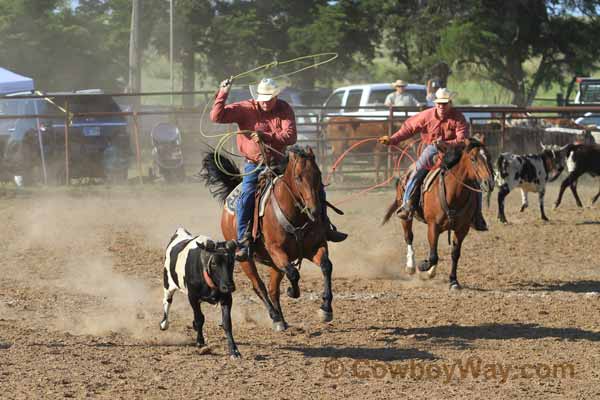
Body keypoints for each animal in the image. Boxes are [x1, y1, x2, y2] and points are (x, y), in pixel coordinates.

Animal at [163, 228, 243, 360]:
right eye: (214, 263)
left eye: (231, 262)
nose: (229, 286)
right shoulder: (193, 297)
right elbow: (200, 318)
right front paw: (200, 342)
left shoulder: (227, 298)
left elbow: (227, 323)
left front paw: (234, 351)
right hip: (167, 283)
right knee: (167, 301)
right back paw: (164, 323)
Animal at [200, 145, 332, 330]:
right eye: (298, 178)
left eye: (318, 174)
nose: (315, 211)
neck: (296, 215)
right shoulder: (276, 250)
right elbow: (293, 274)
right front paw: (293, 292)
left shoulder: (314, 247)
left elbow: (326, 266)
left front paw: (326, 309)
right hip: (246, 260)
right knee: (259, 286)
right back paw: (275, 316)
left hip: (274, 264)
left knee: (272, 289)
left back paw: (281, 320)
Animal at [382, 139, 494, 290]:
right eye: (473, 159)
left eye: (489, 157)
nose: (490, 183)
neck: (454, 195)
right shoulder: (433, 225)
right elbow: (433, 256)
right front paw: (423, 266)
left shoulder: (462, 229)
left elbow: (454, 254)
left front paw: (453, 281)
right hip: (406, 216)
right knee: (409, 237)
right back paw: (411, 266)